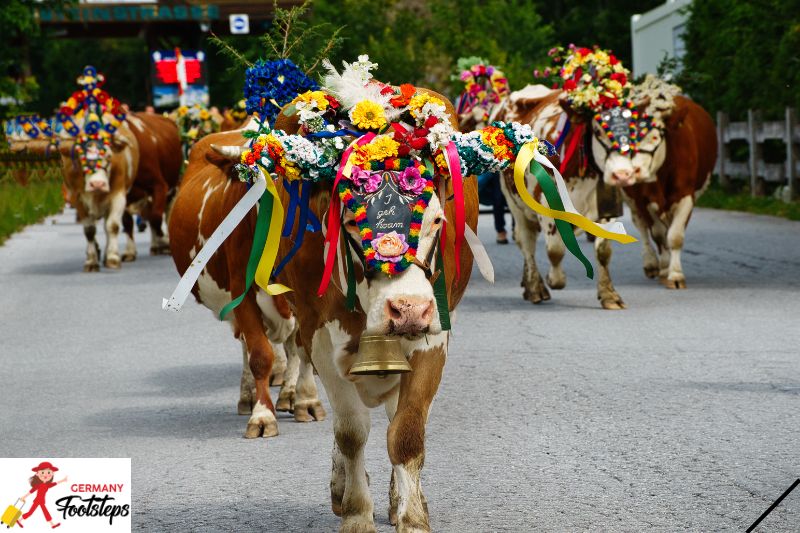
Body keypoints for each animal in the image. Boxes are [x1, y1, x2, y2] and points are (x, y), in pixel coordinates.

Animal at [175, 89, 476, 528]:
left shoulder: (433, 336)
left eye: (437, 220)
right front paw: (356, 513)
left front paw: (411, 516)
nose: (407, 309)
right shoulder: (304, 326)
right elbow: (348, 430)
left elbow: (405, 432)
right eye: (350, 222)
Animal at [588, 80, 720, 286]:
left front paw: (675, 274)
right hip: (632, 201)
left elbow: (675, 235)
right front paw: (665, 268)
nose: (633, 171)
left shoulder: (686, 195)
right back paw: (651, 264)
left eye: (656, 137)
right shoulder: (643, 199)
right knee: (643, 228)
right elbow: (658, 234)